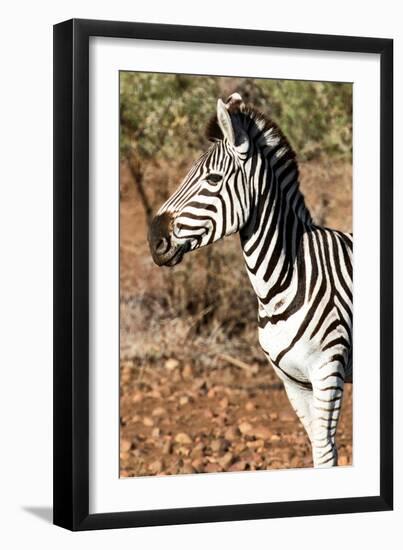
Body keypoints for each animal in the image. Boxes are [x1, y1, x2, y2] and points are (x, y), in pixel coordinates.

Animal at [149, 92, 354, 468]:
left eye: (213, 180)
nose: (153, 240)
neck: (283, 283)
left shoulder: (328, 371)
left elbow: (324, 451)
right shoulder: (292, 381)